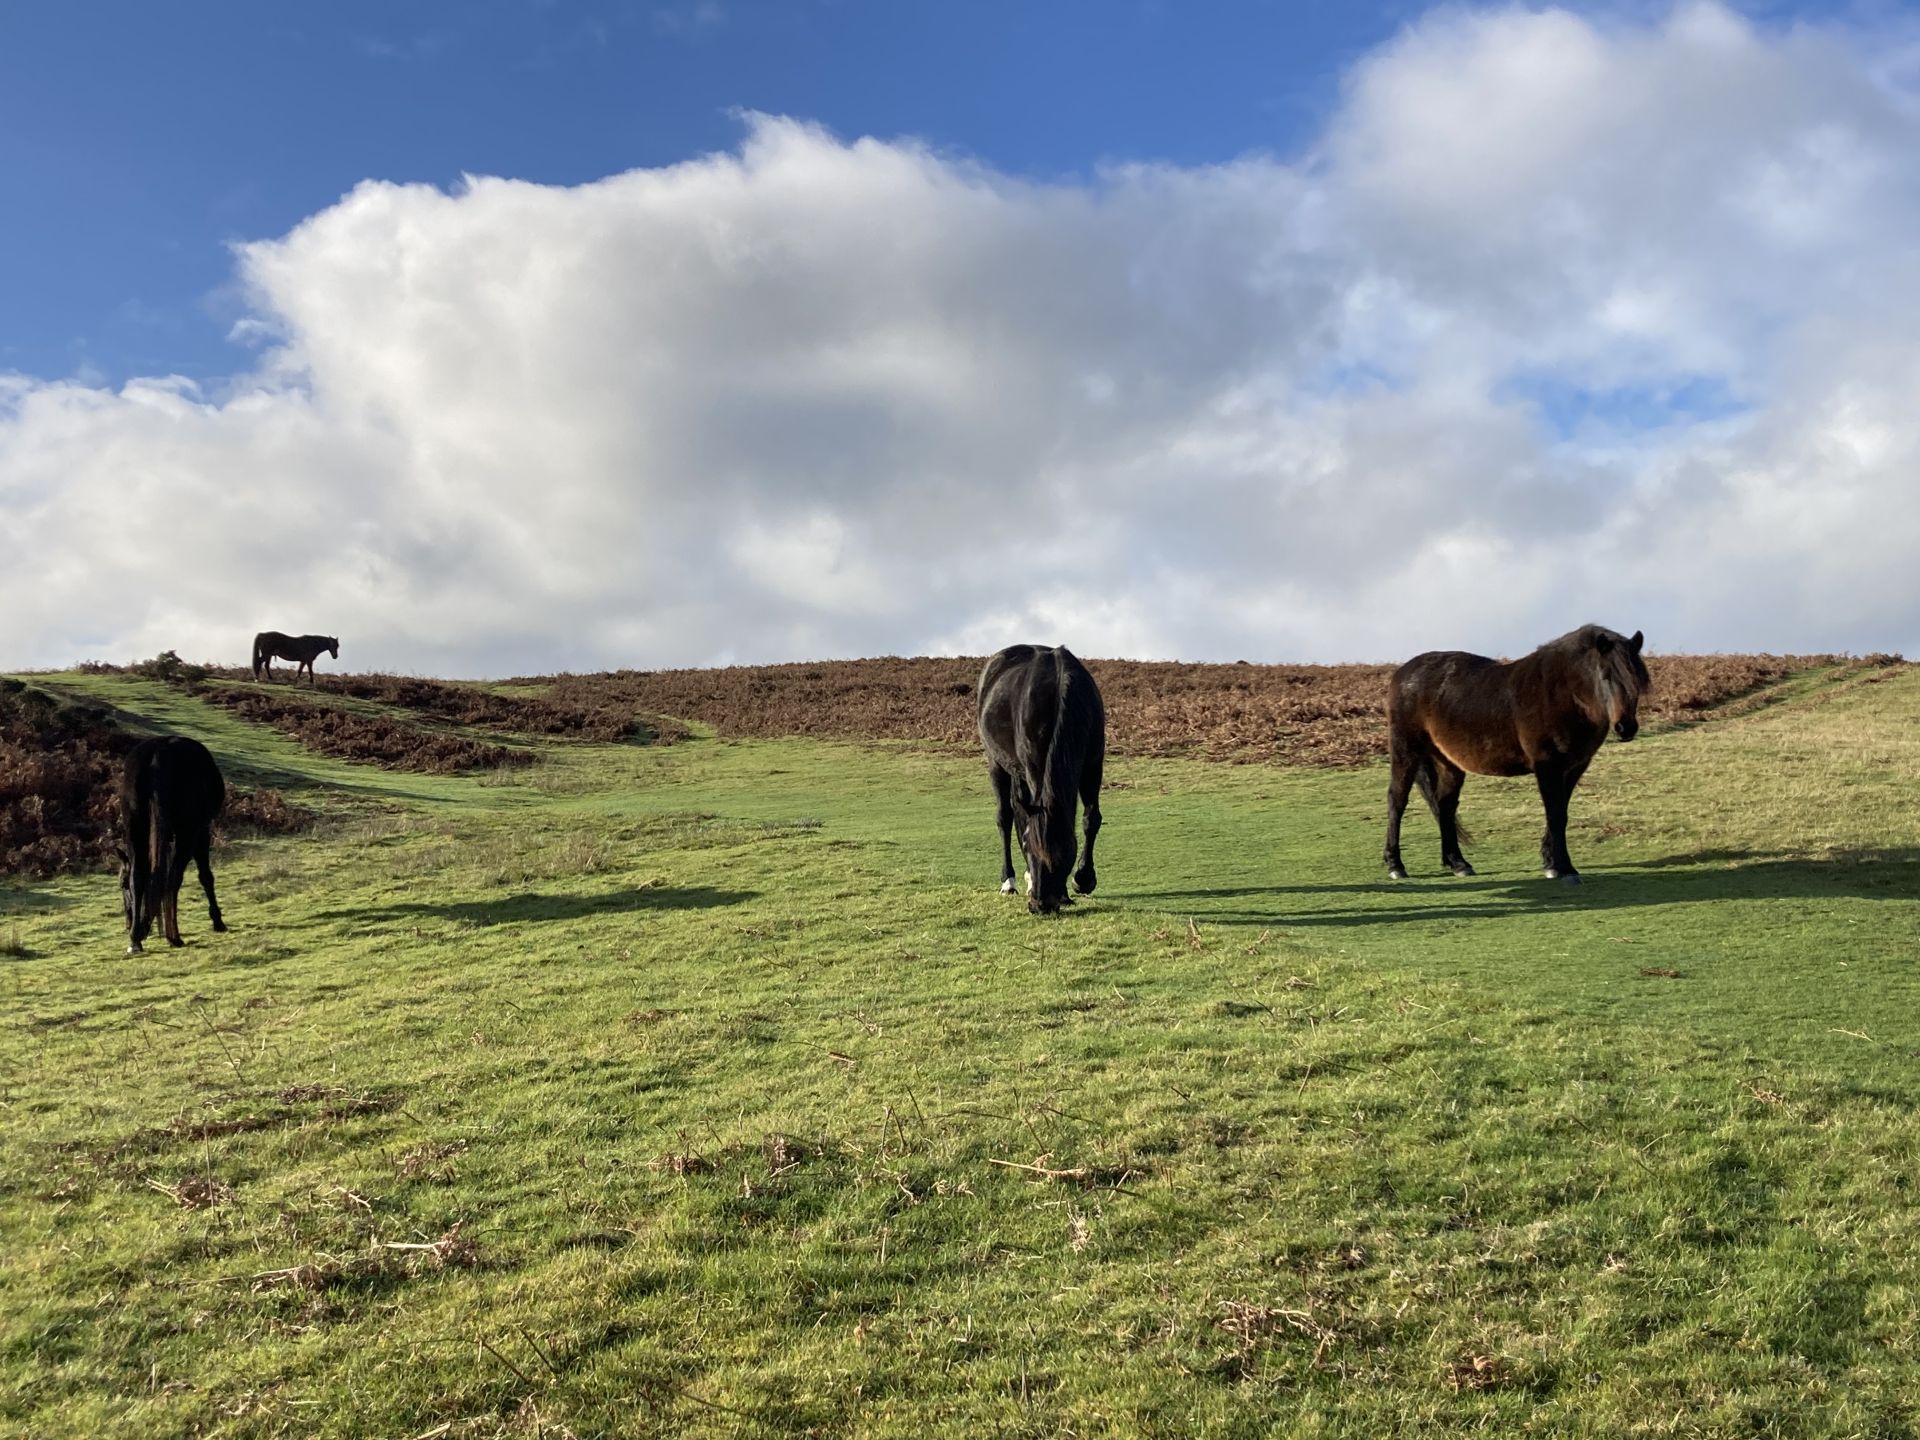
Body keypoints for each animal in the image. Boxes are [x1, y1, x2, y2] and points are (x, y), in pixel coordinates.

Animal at [117, 736, 227, 954]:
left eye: (122, 885)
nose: (128, 922)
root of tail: (158, 754)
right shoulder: (201, 830)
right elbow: (205, 876)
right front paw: (217, 920)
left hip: (136, 827)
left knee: (139, 875)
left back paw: (135, 940)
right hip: (187, 832)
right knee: (174, 877)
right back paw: (173, 936)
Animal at [976, 644, 1106, 915]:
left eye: (1064, 853)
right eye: (1027, 847)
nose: (1040, 905)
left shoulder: (1093, 765)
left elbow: (1091, 819)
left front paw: (1083, 881)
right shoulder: (1034, 766)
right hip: (997, 764)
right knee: (1005, 818)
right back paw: (1009, 882)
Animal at [1383, 624, 1650, 885]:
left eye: (1637, 679)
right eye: (1605, 676)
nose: (1625, 728)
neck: (1562, 694)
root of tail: (1403, 673)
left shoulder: (1574, 767)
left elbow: (1561, 811)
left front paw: (1551, 862)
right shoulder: (1547, 766)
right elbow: (1555, 815)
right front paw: (1565, 868)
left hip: (1448, 762)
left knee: (1445, 805)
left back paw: (1458, 863)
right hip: (1406, 750)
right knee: (1397, 800)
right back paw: (1395, 865)